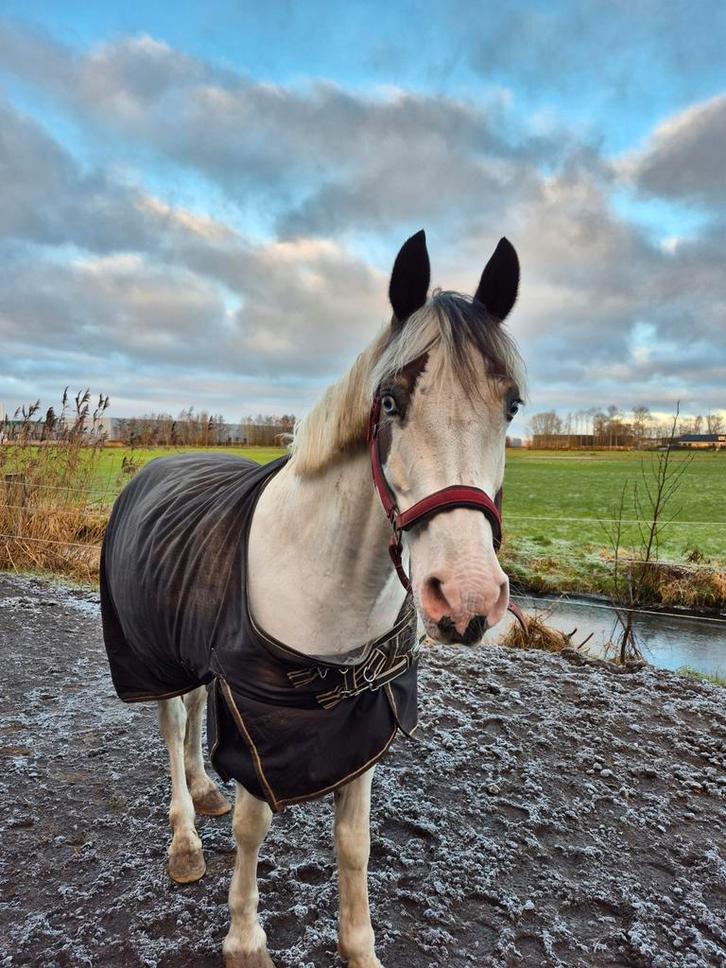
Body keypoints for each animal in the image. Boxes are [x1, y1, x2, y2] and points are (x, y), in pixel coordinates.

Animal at [99, 229, 525, 967]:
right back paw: (184, 838)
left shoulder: (360, 729)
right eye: (391, 401)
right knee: (173, 726)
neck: (331, 586)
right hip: (152, 659)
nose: (467, 597)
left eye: (511, 406)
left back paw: (204, 793)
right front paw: (245, 941)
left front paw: (360, 949)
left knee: (192, 715)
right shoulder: (254, 727)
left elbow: (353, 845)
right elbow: (251, 828)